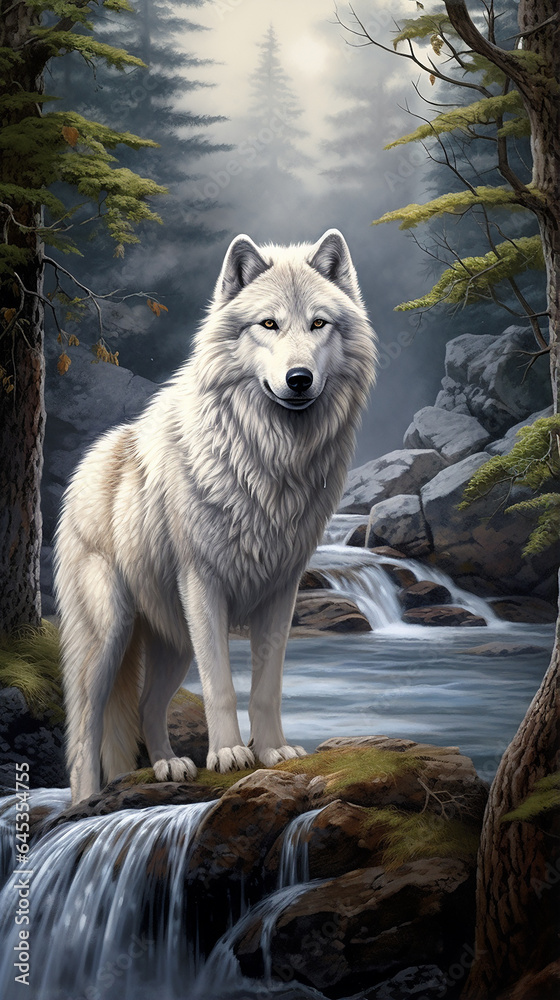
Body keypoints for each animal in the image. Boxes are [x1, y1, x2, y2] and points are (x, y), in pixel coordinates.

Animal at [55, 229, 377, 803]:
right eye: (268, 324)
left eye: (318, 323)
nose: (299, 379)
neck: (269, 462)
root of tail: (91, 460)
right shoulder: (203, 585)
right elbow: (222, 686)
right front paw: (228, 754)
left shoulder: (281, 592)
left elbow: (266, 688)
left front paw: (272, 751)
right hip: (110, 633)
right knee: (85, 726)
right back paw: (90, 798)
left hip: (171, 642)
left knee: (145, 706)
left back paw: (167, 767)